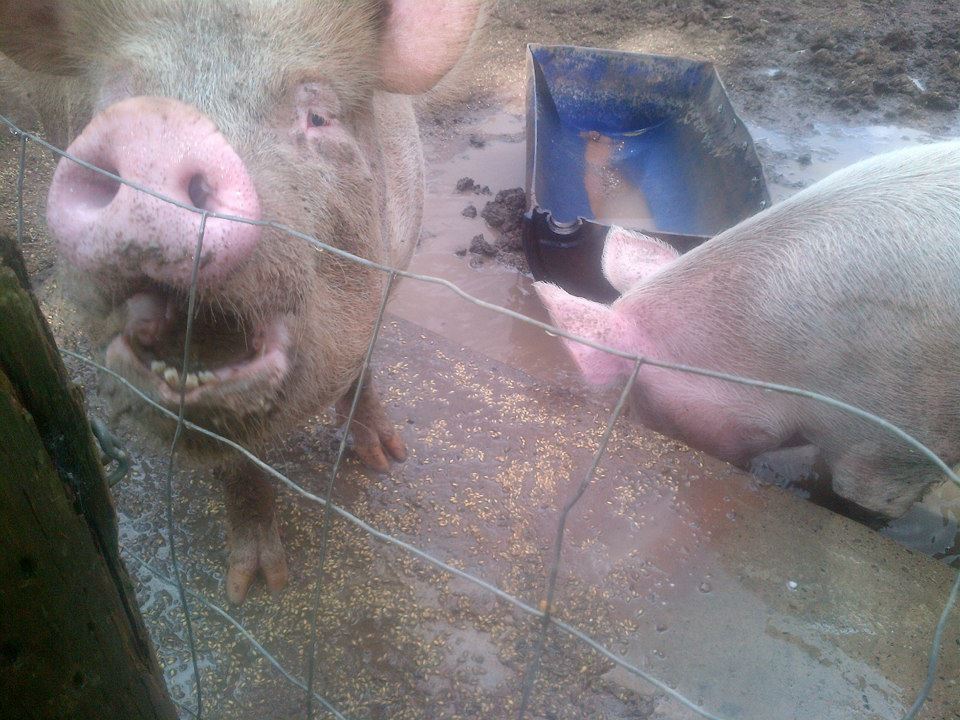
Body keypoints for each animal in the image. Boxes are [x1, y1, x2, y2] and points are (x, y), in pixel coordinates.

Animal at [0, 0, 482, 603]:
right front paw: (253, 588)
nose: (156, 128)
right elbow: (240, 466)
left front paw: (383, 460)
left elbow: (364, 364)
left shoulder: (397, 256)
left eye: (318, 116)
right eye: (109, 104)